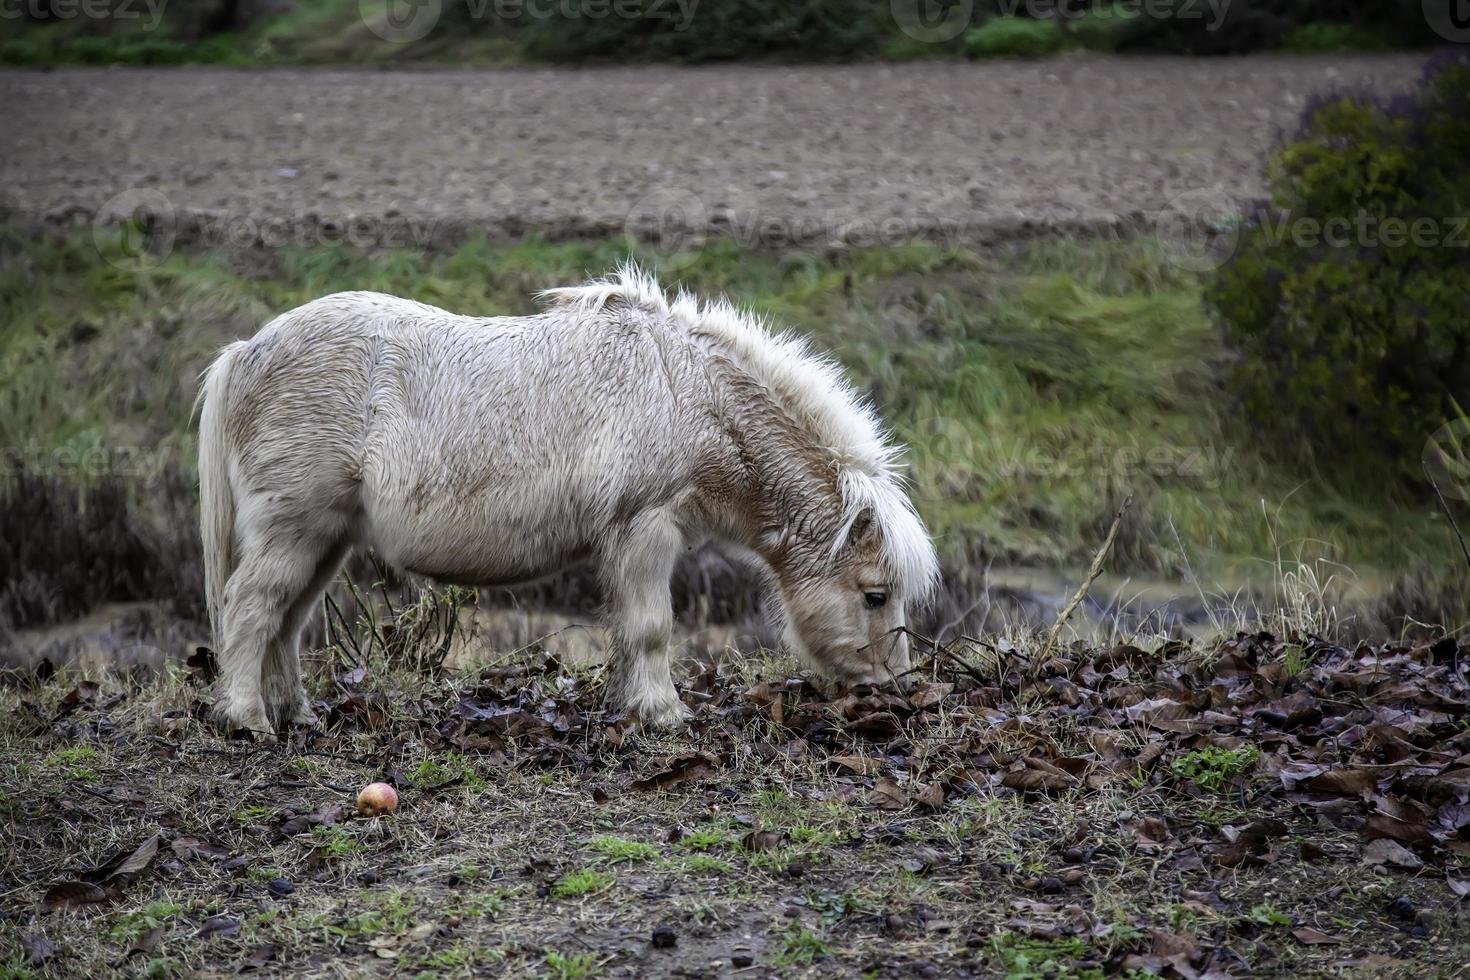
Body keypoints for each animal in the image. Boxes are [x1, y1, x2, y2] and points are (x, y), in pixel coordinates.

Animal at [195, 268, 934, 734]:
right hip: (294, 530)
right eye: (875, 595)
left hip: (325, 540)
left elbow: (629, 630)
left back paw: (295, 714)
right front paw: (665, 714)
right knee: (253, 609)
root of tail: (246, 350)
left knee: (286, 623)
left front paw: (631, 707)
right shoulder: (648, 529)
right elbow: (652, 627)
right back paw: (248, 721)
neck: (686, 392)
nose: (894, 690)